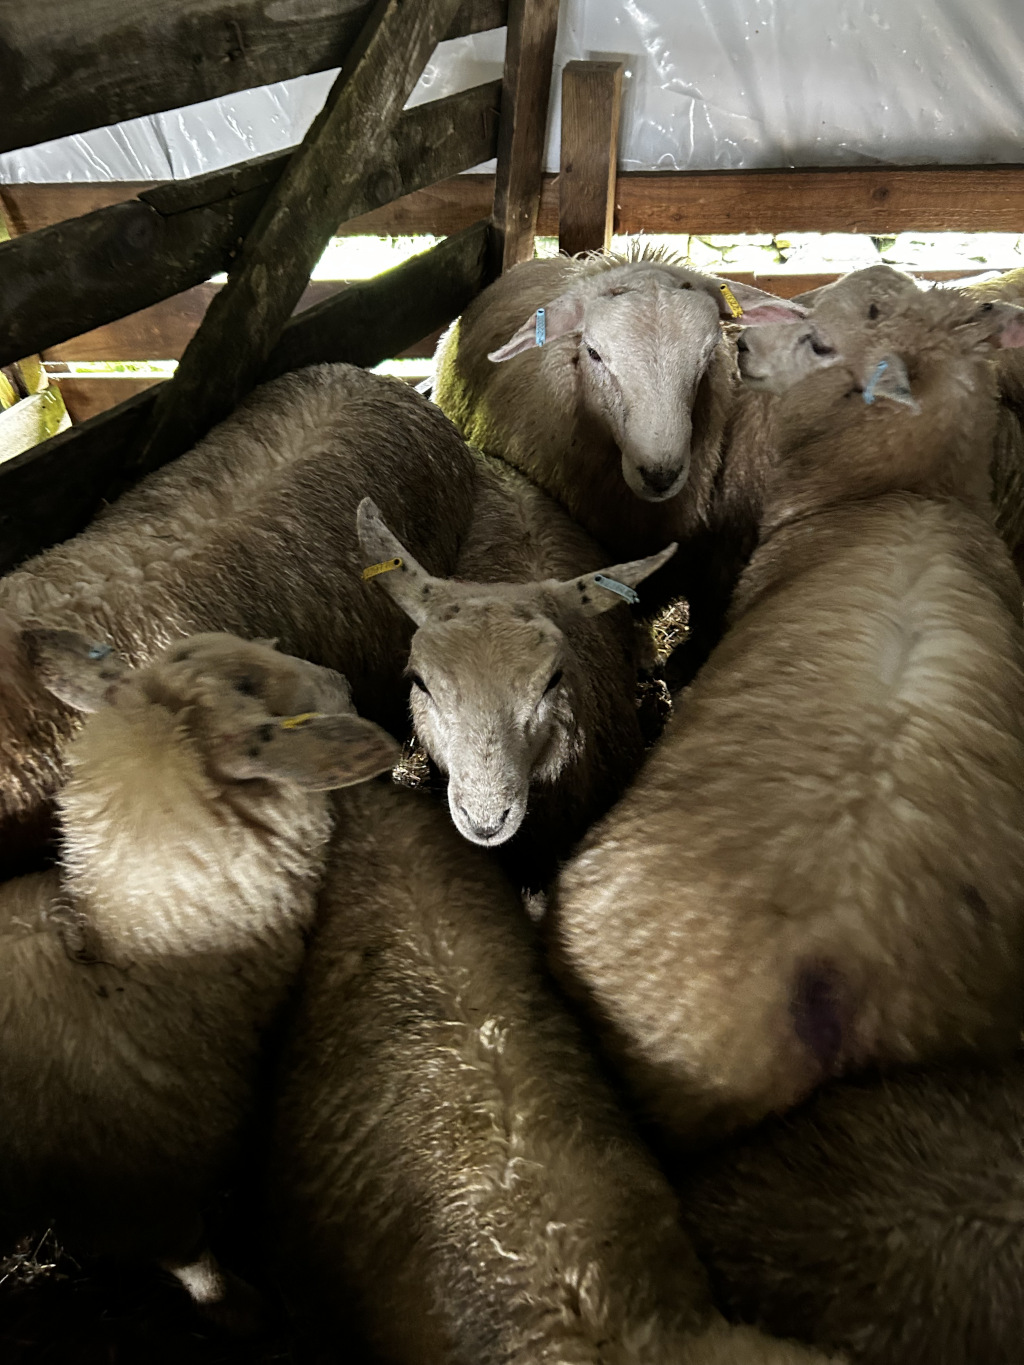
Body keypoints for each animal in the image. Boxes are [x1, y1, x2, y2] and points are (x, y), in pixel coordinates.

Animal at [0, 629, 399, 1317]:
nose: (342, 682)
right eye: (248, 685)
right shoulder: (143, 1199)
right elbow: (197, 1263)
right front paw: (243, 1311)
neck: (135, 968)